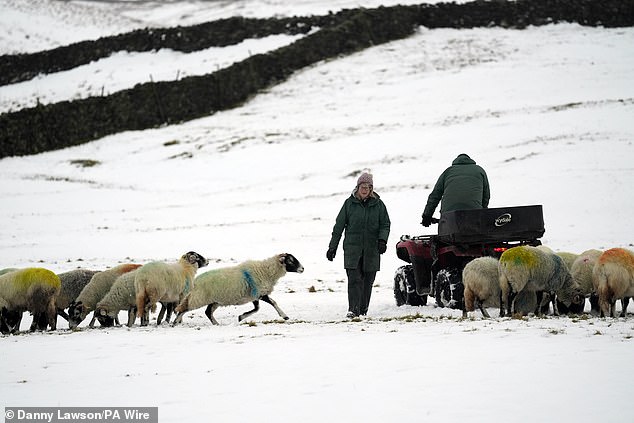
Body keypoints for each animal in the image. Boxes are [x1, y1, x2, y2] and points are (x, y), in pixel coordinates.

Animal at [172, 253, 302, 326]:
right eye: (290, 260)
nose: (302, 269)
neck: (266, 271)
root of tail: (195, 282)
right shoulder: (259, 293)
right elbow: (272, 303)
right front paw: (284, 316)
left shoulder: (255, 295)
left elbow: (257, 308)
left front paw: (241, 317)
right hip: (199, 298)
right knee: (184, 309)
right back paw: (175, 322)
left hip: (215, 301)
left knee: (208, 312)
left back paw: (216, 324)